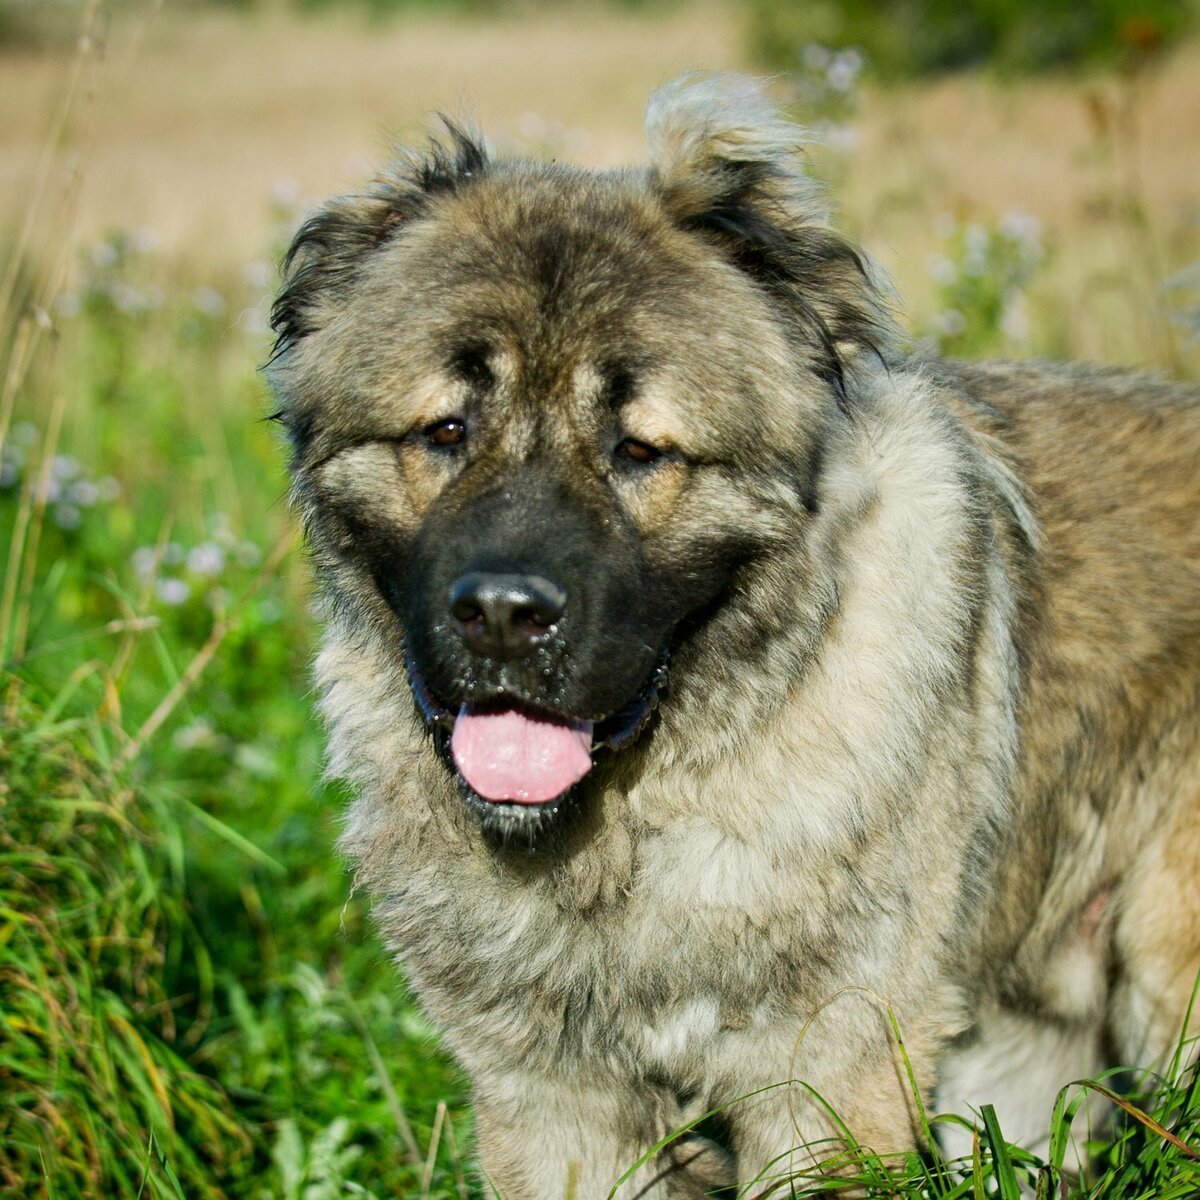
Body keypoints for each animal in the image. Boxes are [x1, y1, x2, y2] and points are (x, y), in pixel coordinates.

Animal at [270, 77, 1200, 1200]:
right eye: (445, 431)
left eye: (639, 449)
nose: (501, 613)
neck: (635, 831)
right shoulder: (551, 1101)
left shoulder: (827, 1078)